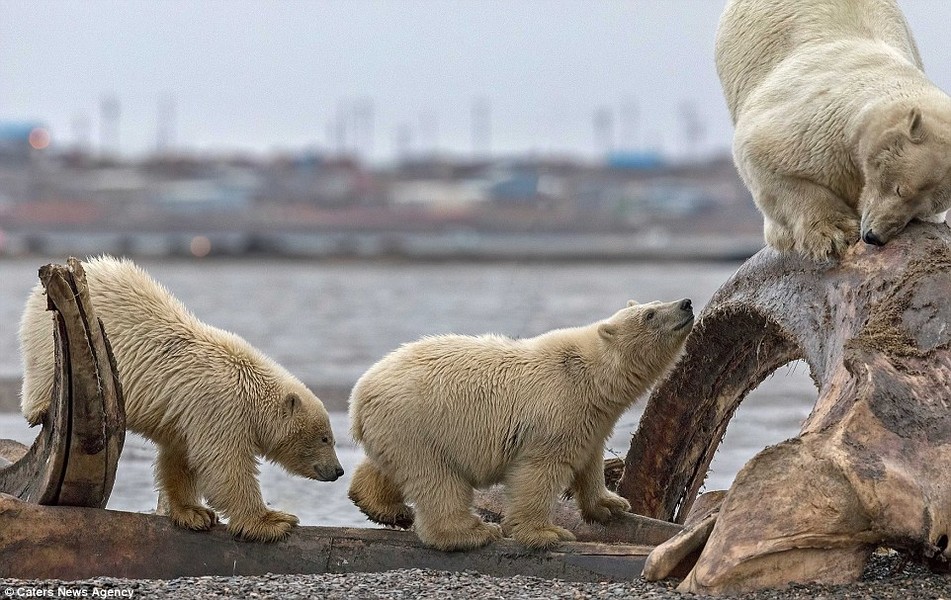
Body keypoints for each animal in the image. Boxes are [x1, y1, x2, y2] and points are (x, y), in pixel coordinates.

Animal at [716, 0, 951, 260]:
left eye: (922, 209)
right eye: (900, 190)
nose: (875, 236)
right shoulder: (813, 123)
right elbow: (760, 154)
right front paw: (834, 233)